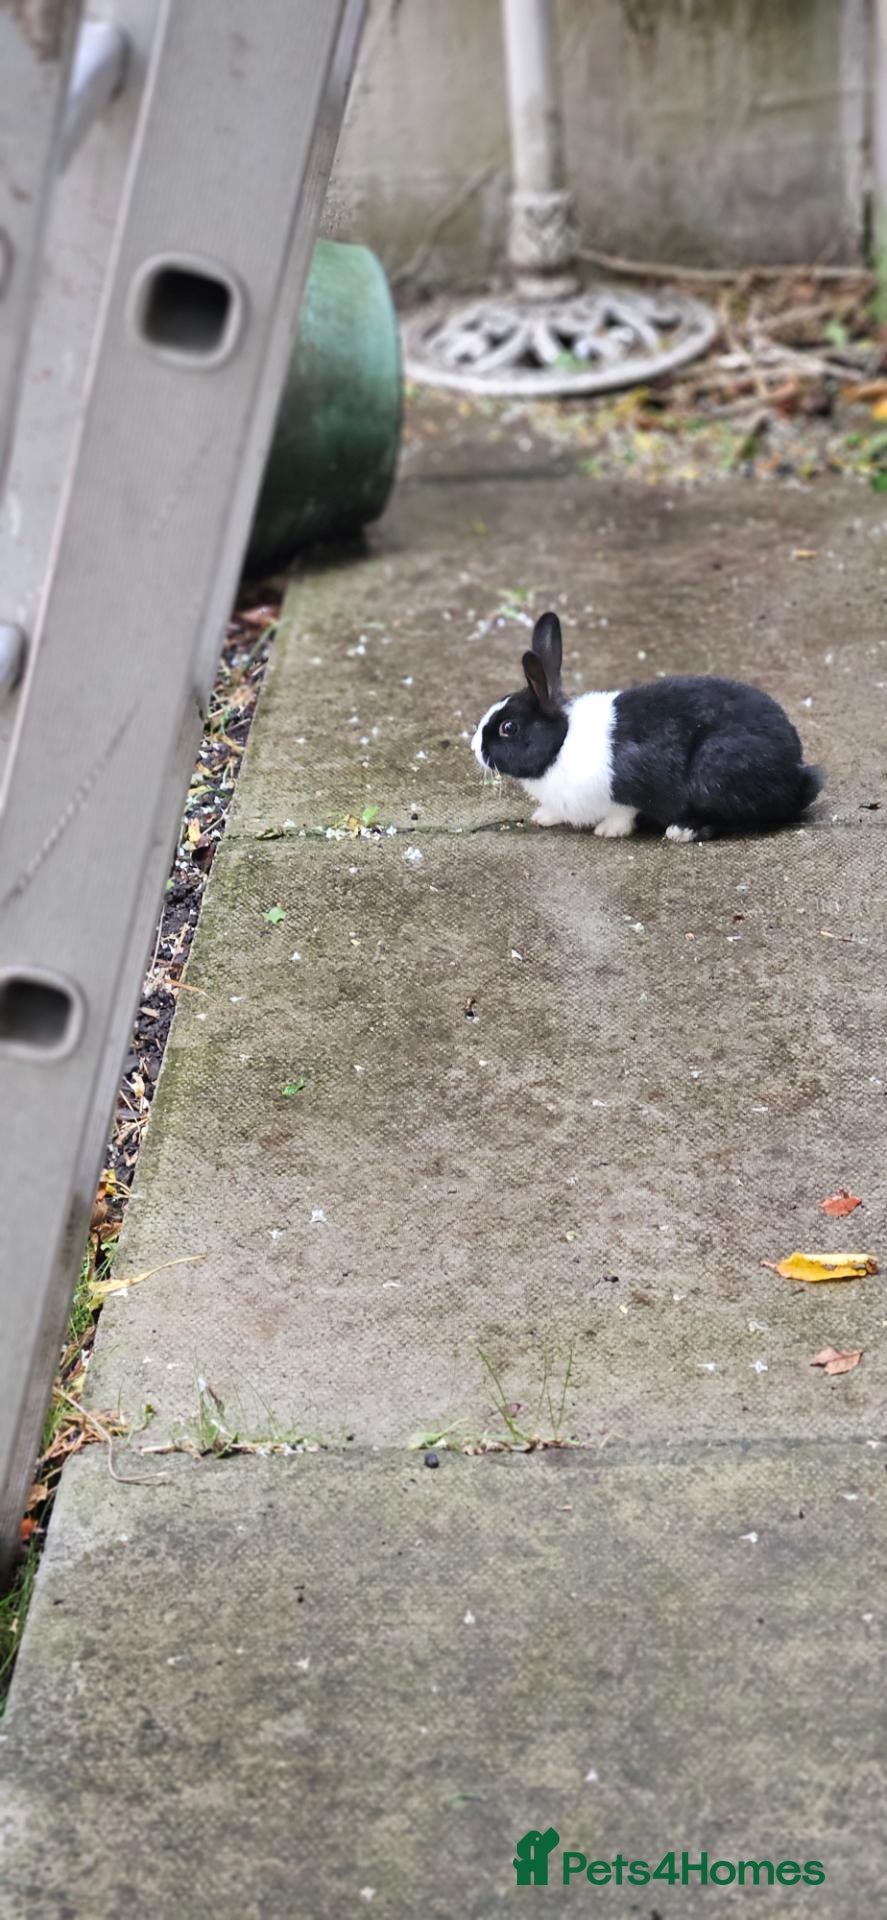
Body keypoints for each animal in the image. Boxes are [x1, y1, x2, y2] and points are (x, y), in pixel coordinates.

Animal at [471, 610, 822, 841]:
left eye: (508, 728)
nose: (474, 747)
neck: (561, 744)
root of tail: (796, 772)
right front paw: (542, 818)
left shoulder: (628, 791)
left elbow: (625, 811)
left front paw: (609, 831)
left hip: (715, 772)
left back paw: (682, 830)